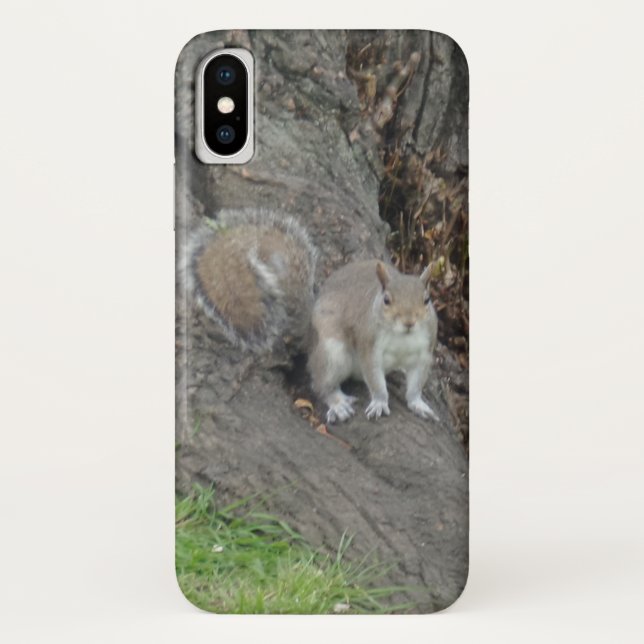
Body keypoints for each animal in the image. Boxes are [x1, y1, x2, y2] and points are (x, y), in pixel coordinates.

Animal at [190, 210, 439, 424]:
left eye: (427, 299)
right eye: (386, 300)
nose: (409, 322)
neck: (402, 337)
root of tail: (309, 331)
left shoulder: (424, 353)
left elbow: (416, 386)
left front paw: (418, 404)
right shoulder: (369, 346)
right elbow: (376, 382)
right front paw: (379, 402)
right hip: (332, 352)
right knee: (321, 384)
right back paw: (338, 403)